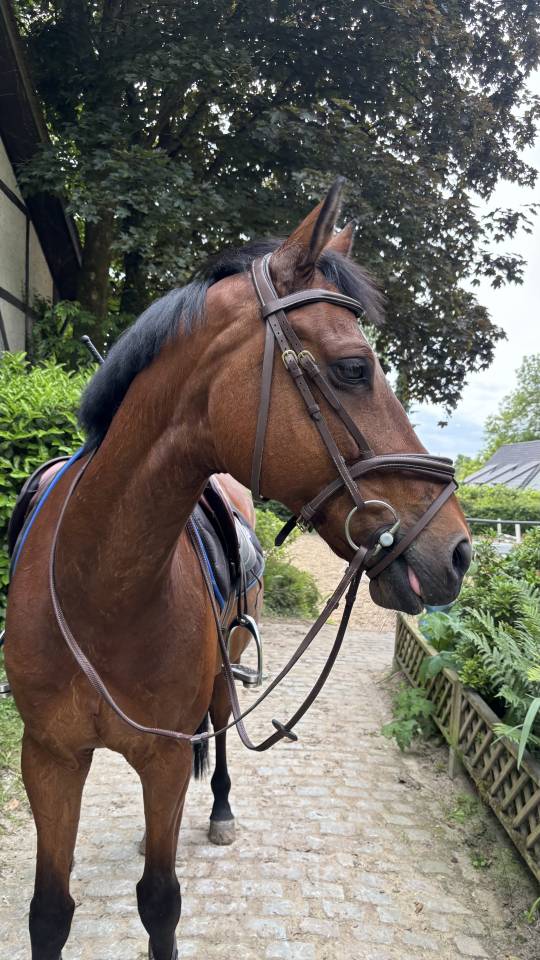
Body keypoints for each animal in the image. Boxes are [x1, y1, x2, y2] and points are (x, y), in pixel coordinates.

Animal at [5, 179, 471, 960]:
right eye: (354, 368)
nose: (460, 550)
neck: (100, 587)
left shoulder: (162, 761)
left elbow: (160, 903)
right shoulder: (48, 759)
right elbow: (50, 912)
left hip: (228, 665)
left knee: (220, 731)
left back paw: (219, 808)